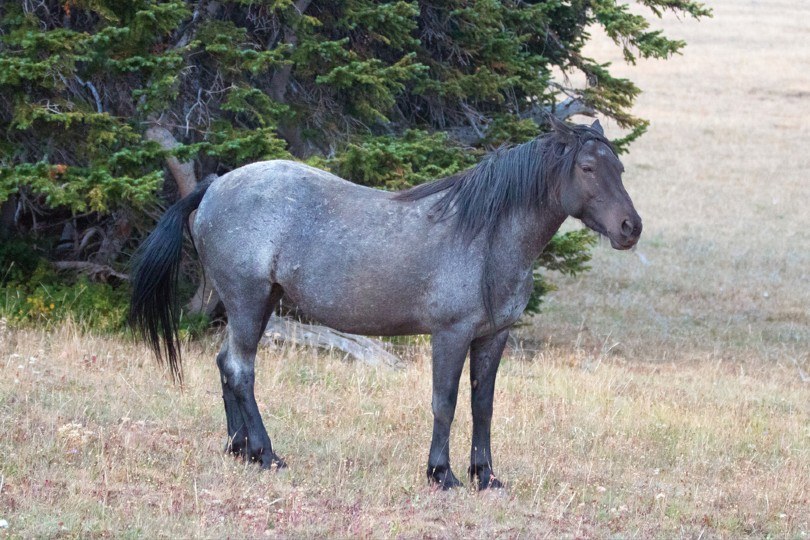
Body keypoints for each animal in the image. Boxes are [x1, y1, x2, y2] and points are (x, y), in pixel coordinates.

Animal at [130, 117, 642, 490]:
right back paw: (266, 453)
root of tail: (215, 185)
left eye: (619, 168)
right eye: (588, 168)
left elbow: (483, 405)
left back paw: (239, 449)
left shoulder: (493, 337)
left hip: (253, 306)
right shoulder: (450, 335)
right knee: (241, 370)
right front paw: (441, 474)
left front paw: (486, 477)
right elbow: (445, 402)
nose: (630, 228)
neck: (485, 237)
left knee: (225, 364)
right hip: (248, 300)